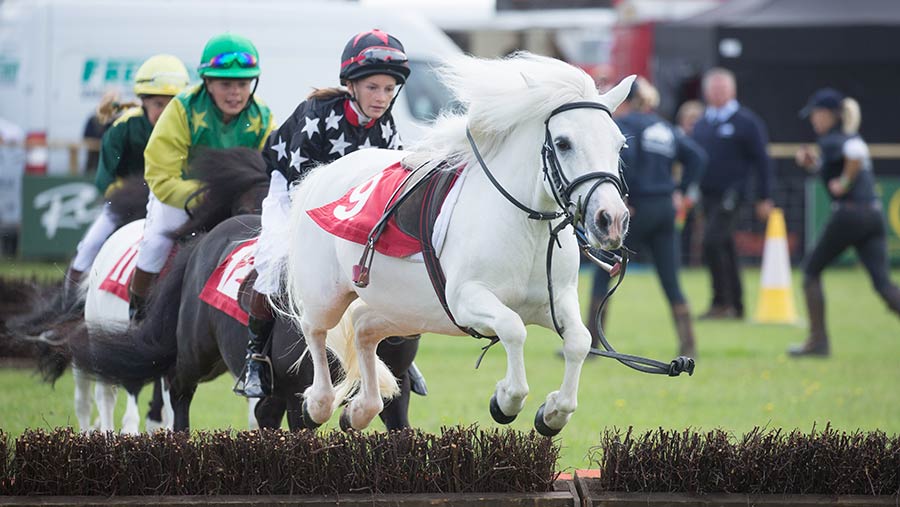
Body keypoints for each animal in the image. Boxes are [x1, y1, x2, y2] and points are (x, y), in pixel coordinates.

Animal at [284, 52, 636, 436]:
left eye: (619, 144)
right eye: (563, 143)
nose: (611, 219)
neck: (527, 230)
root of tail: (322, 174)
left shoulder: (555, 301)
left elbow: (579, 342)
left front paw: (554, 412)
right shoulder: (469, 299)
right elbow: (513, 329)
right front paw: (506, 400)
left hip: (406, 310)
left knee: (364, 327)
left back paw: (361, 409)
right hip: (327, 296)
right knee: (315, 329)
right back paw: (318, 403)